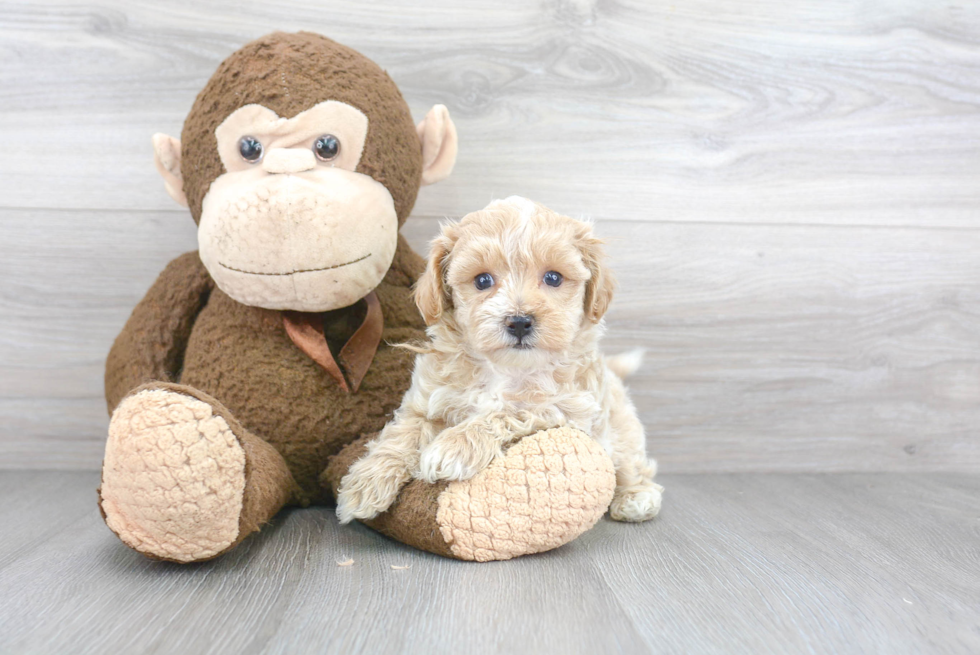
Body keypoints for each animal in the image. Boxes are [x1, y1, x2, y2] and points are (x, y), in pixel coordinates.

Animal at [336, 197, 668, 524]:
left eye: (553, 278)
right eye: (482, 280)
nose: (519, 322)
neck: (503, 368)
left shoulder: (569, 407)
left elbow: (509, 409)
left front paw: (454, 446)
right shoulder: (425, 401)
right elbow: (403, 433)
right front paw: (365, 483)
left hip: (620, 430)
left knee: (631, 464)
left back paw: (637, 498)